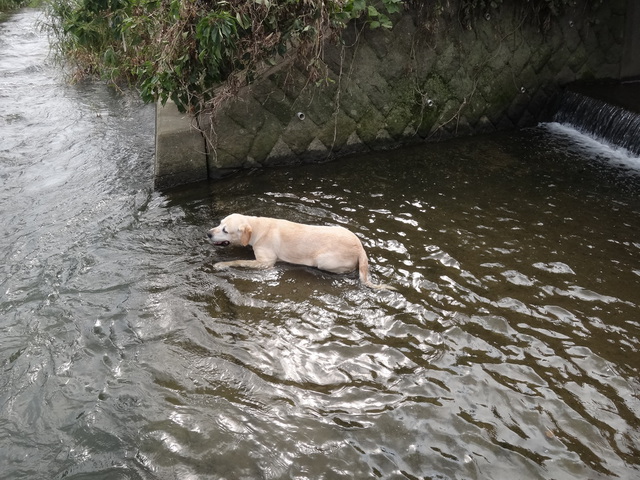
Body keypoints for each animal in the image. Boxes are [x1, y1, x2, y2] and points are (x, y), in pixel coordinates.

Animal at [208, 216, 396, 290]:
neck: (257, 227)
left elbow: (237, 261)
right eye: (219, 223)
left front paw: (220, 265)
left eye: (225, 230)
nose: (208, 233)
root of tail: (360, 248)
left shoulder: (265, 263)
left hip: (324, 260)